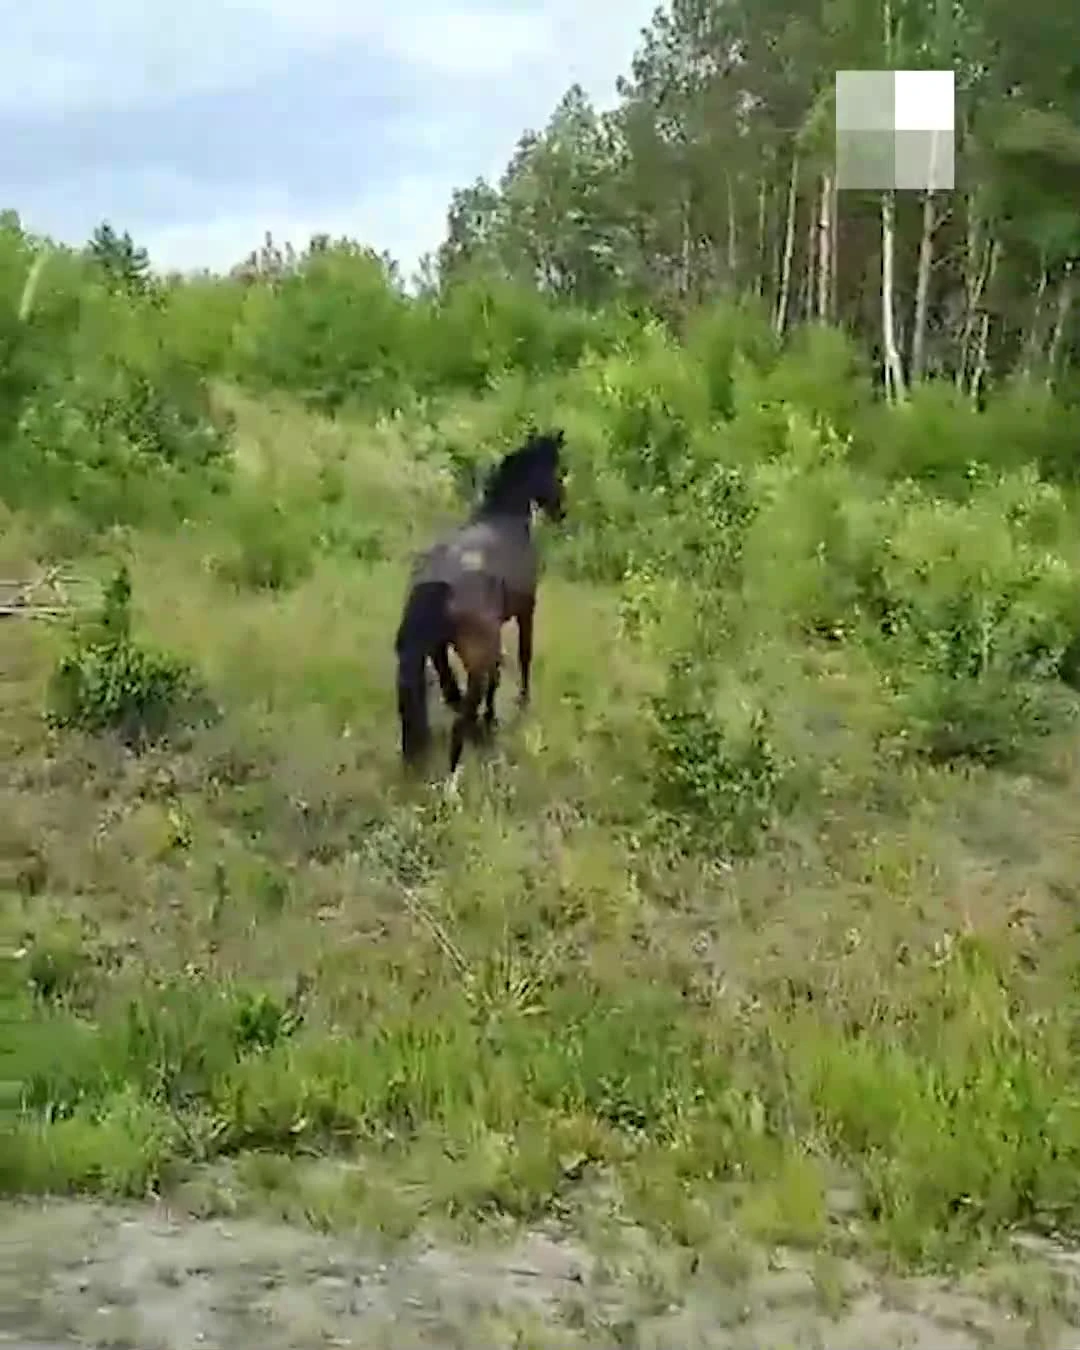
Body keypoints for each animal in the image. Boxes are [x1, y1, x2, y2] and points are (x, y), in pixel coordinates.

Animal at [394, 426, 564, 777]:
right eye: (553, 470)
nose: (561, 509)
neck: (504, 518)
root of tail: (436, 584)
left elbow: (496, 678)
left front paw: (492, 718)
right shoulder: (526, 611)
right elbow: (524, 656)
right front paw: (522, 702)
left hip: (439, 652)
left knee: (454, 697)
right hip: (473, 655)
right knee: (461, 717)